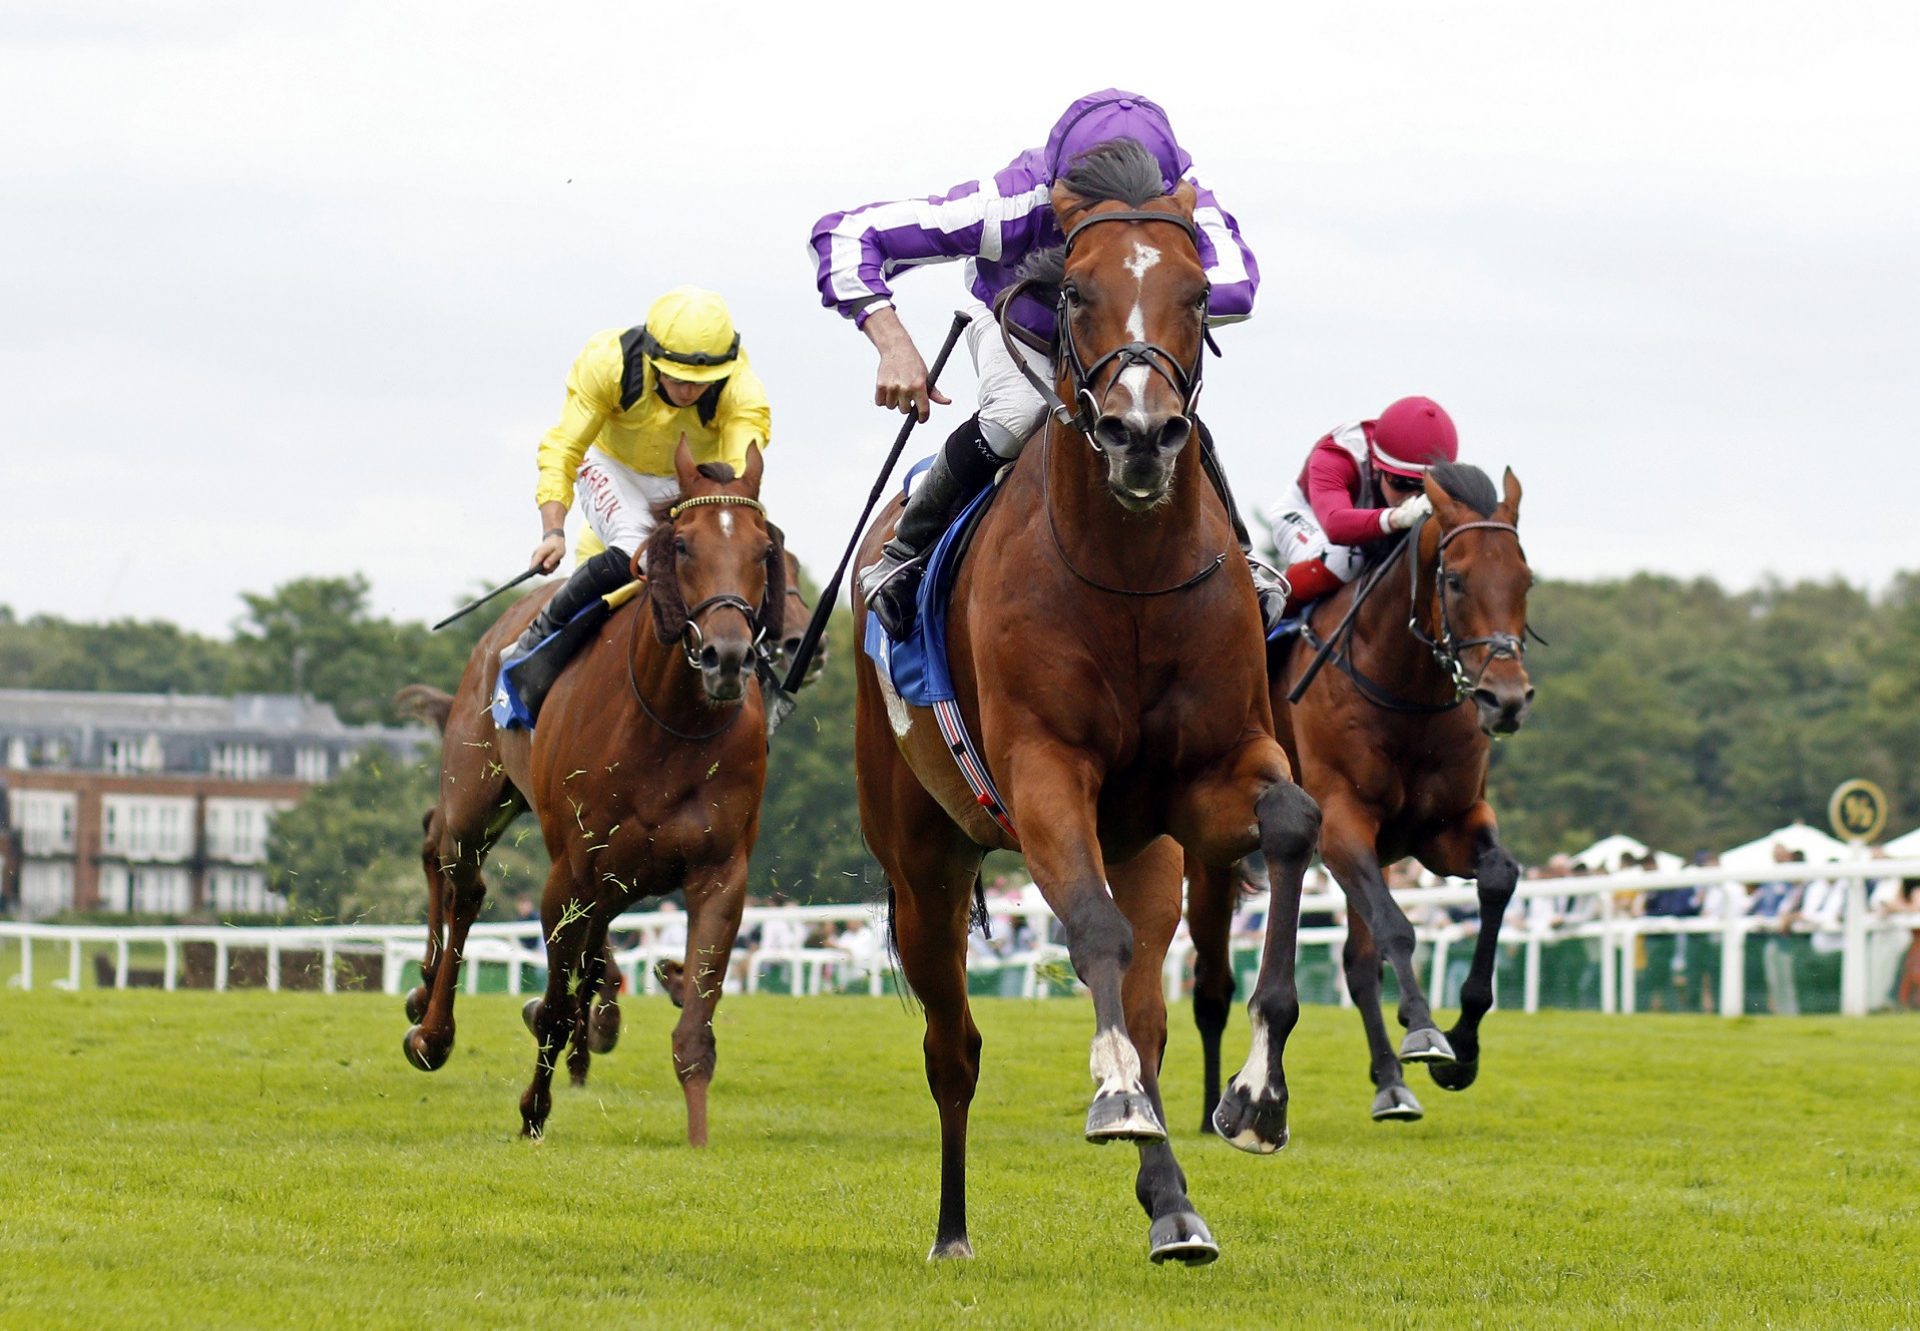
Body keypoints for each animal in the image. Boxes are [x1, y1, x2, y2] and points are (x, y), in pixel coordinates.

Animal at [393, 437, 783, 1144]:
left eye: (763, 549)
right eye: (682, 546)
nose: (727, 657)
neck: (671, 723)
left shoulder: (719, 872)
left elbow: (694, 1030)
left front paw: (698, 1140)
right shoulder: (570, 872)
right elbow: (553, 1001)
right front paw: (532, 1110)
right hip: (479, 793)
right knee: (454, 868)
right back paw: (430, 1022)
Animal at [852, 137, 1320, 1267]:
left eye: (1197, 291)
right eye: (1072, 289)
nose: (1142, 434)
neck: (1129, 574)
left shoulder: (1210, 776)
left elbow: (1292, 821)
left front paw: (1256, 1096)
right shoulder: (1044, 771)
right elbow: (1091, 934)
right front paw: (1109, 1096)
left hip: (1145, 849)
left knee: (1147, 1010)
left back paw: (1175, 1206)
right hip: (923, 862)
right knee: (953, 1043)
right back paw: (953, 1228)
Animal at [1190, 462, 1536, 1137]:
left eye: (1526, 579)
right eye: (1454, 580)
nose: (1505, 700)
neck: (1406, 687)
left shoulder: (1446, 826)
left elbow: (1498, 878)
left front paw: (1463, 1047)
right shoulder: (1342, 823)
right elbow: (1398, 929)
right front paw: (1425, 1030)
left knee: (1356, 963)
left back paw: (1391, 1085)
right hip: (1208, 855)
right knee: (1211, 983)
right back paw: (1208, 1103)